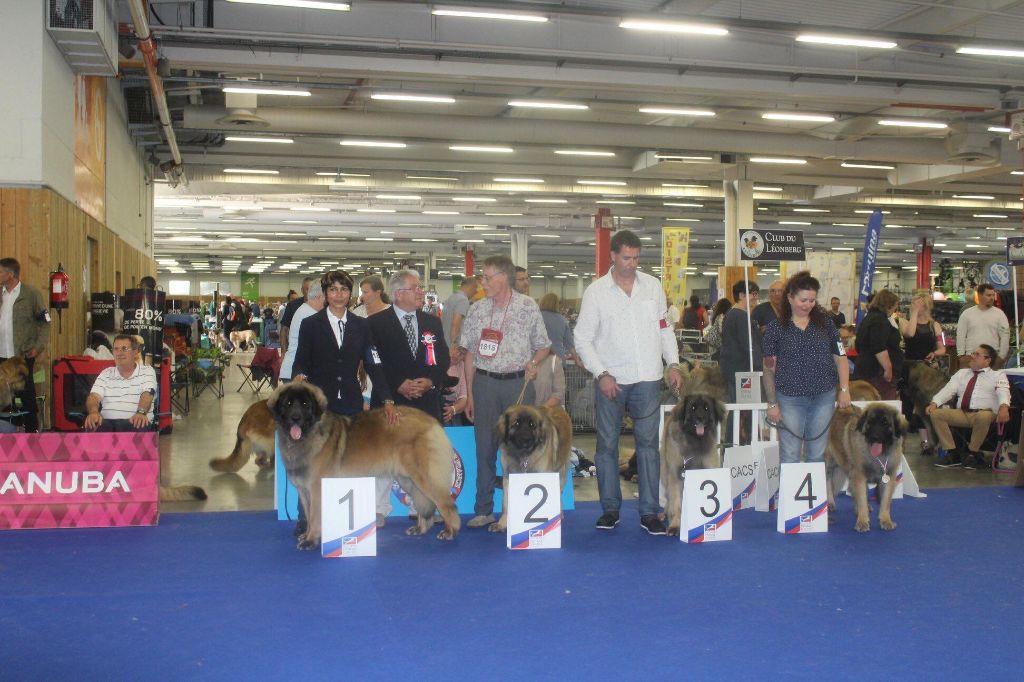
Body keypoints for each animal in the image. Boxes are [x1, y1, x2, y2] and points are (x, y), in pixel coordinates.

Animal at [268, 382, 460, 548]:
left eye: (305, 404)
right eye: (288, 403)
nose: (295, 418)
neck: (310, 435)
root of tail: (431, 421)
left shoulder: (317, 488)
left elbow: (315, 516)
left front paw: (310, 541)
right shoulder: (304, 490)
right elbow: (308, 515)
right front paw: (308, 535)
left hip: (424, 476)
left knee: (445, 503)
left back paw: (450, 530)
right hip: (408, 479)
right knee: (423, 501)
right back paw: (420, 528)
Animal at [489, 403, 573, 532]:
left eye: (532, 425)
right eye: (516, 423)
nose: (526, 439)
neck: (524, 456)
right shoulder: (508, 477)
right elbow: (506, 503)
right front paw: (502, 523)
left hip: (560, 473)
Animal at [823, 403, 905, 532]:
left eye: (885, 423)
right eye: (870, 422)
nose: (875, 437)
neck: (879, 457)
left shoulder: (888, 476)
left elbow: (885, 501)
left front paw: (886, 520)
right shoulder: (859, 475)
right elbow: (861, 497)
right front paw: (862, 521)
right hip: (829, 463)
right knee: (828, 482)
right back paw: (831, 503)